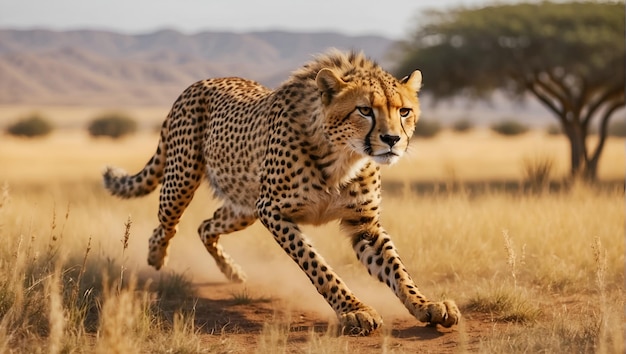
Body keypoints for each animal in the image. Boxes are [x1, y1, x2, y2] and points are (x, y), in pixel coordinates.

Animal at [103, 49, 458, 334]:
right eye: (365, 110)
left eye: (404, 111)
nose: (392, 140)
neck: (342, 157)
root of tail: (203, 81)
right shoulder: (273, 211)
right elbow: (317, 265)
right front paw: (354, 310)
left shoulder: (363, 224)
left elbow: (397, 269)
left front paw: (426, 305)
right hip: (184, 177)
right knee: (166, 223)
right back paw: (156, 255)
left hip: (243, 207)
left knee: (206, 226)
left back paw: (232, 271)